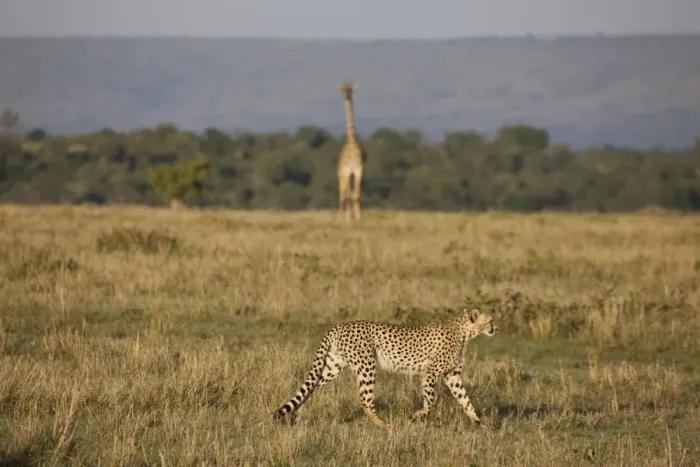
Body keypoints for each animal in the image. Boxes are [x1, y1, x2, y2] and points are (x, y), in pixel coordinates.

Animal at [273, 308, 498, 428]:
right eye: (490, 320)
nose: (496, 328)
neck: (464, 331)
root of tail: (338, 326)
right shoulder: (431, 373)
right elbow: (431, 401)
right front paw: (416, 416)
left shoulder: (452, 375)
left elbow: (465, 399)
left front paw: (478, 422)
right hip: (367, 365)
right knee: (365, 400)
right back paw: (383, 424)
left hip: (332, 366)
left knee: (310, 388)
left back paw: (297, 414)